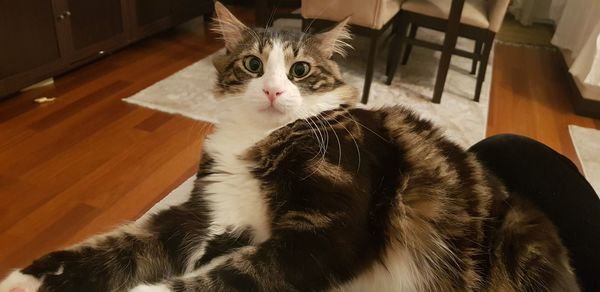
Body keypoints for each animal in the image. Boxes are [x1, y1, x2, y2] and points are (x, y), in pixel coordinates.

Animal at [0, 2, 580, 292]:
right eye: (253, 65)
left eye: (300, 71)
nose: (275, 90)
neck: (258, 139)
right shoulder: (204, 212)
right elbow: (119, 245)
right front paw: (27, 278)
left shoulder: (324, 234)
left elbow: (224, 277)